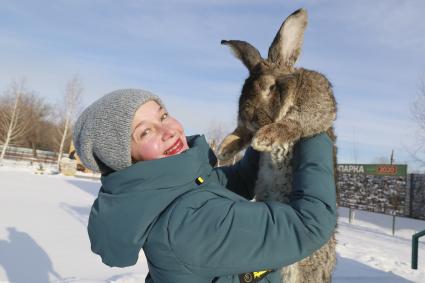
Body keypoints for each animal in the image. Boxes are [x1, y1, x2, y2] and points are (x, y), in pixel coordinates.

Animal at [217, 8, 336, 283]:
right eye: (243, 90)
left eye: (270, 87)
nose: (247, 115)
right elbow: (242, 136)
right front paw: (226, 147)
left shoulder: (316, 105)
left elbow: (295, 121)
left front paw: (265, 138)